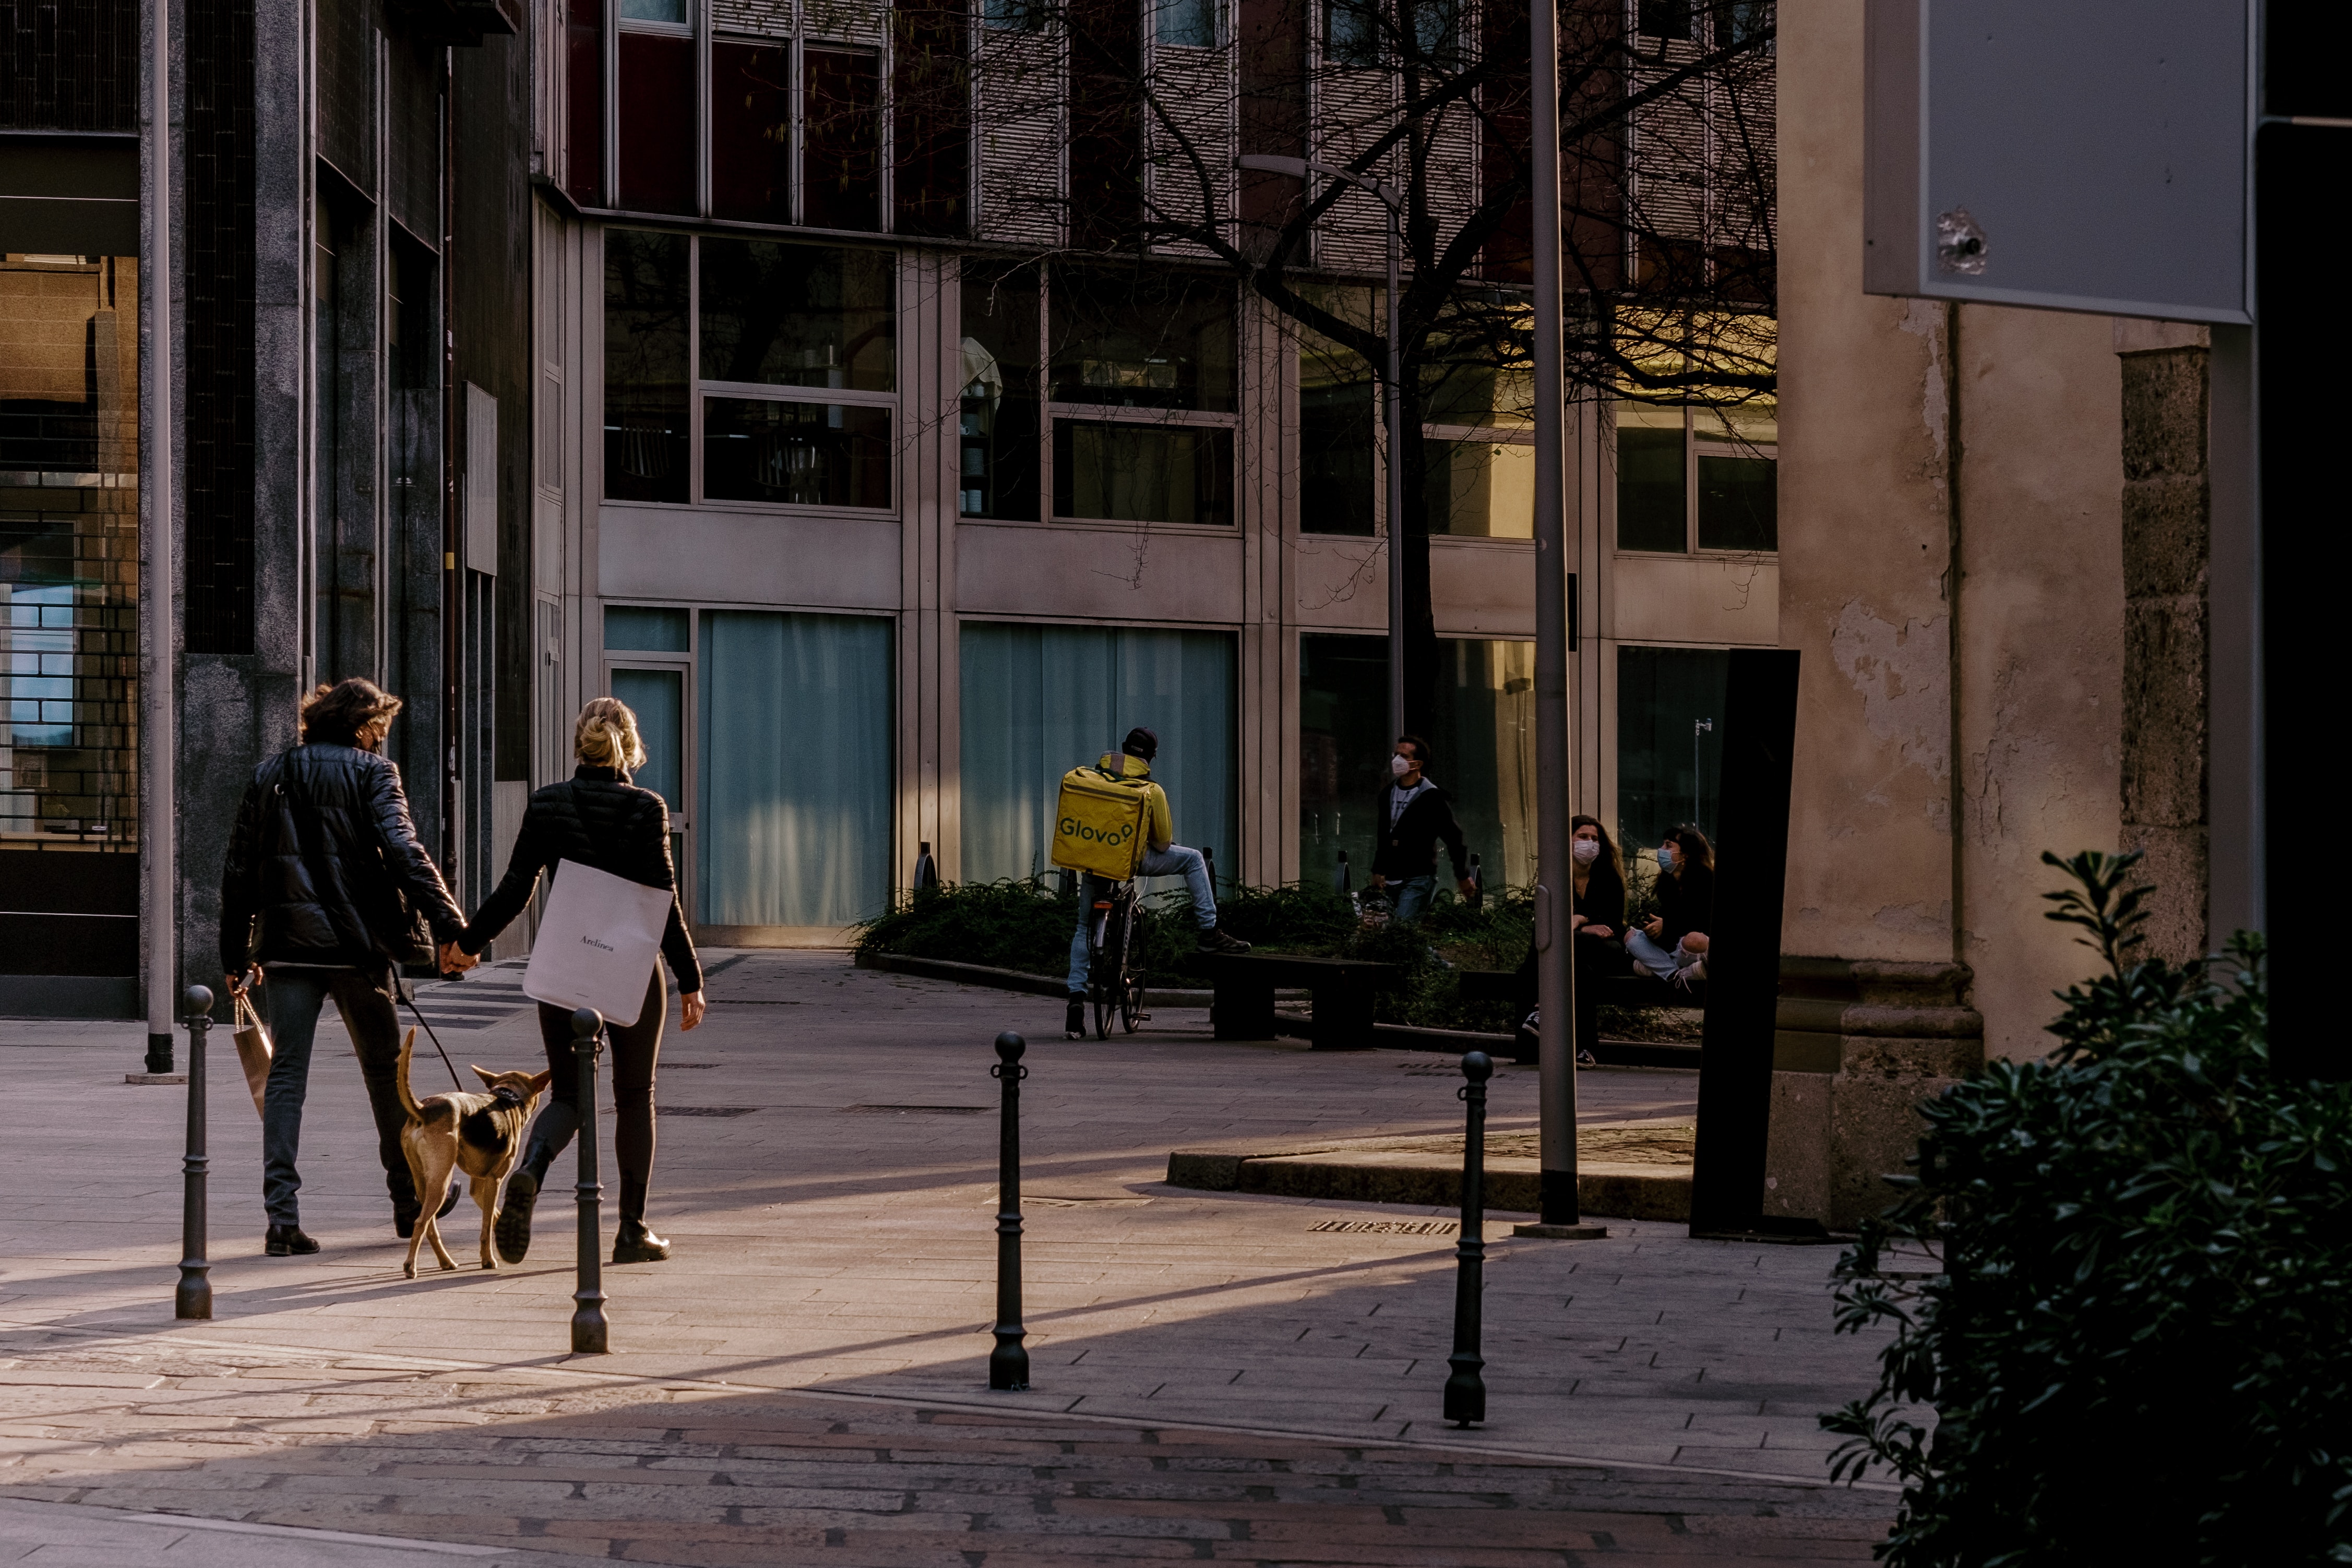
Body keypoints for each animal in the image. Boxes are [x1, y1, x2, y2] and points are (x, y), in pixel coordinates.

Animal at [404, 1030, 555, 1278]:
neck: (507, 1097)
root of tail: (423, 1110)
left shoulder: (478, 1186)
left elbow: (493, 1215)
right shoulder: (495, 1180)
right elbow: (486, 1226)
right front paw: (488, 1259)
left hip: (423, 1183)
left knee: (430, 1227)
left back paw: (446, 1262)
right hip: (442, 1181)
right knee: (420, 1223)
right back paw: (410, 1266)